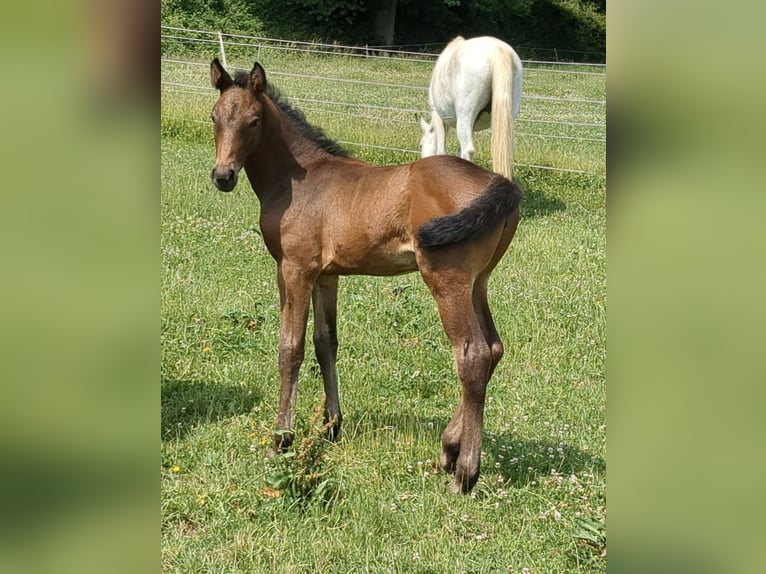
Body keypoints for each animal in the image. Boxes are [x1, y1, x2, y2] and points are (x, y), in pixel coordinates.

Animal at [209, 59, 522, 494]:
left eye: (254, 121)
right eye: (215, 117)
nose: (223, 176)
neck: (301, 179)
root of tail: (500, 183)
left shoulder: (293, 268)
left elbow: (290, 348)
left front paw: (280, 440)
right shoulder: (326, 276)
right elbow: (326, 343)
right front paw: (330, 427)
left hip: (448, 281)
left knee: (472, 355)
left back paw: (464, 473)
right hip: (479, 283)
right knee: (493, 349)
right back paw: (449, 448)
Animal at [420, 36, 523, 181]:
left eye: (421, 145)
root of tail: (498, 50)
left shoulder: (438, 116)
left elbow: (442, 150)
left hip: (465, 115)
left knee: (467, 150)